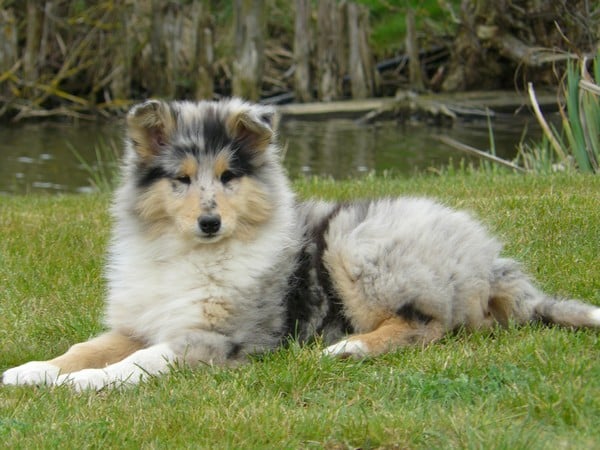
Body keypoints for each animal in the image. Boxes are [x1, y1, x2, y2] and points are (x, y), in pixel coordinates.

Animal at [4, 99, 600, 390]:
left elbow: (139, 362)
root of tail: (489, 260)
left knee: (428, 325)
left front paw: (85, 384)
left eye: (228, 177)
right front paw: (30, 372)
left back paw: (349, 348)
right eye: (182, 179)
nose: (209, 223)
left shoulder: (217, 337)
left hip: (355, 243)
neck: (193, 255)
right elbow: (82, 348)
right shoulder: (139, 321)